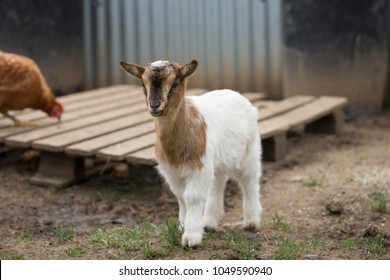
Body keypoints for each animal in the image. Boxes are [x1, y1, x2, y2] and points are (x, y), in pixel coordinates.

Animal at [120, 59, 264, 247]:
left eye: (174, 83)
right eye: (143, 84)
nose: (154, 106)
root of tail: (238, 95)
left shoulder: (198, 166)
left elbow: (192, 197)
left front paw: (191, 237)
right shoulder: (172, 171)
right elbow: (181, 197)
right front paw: (183, 226)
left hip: (249, 151)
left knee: (249, 182)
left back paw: (251, 222)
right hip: (217, 161)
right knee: (217, 183)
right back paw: (209, 222)